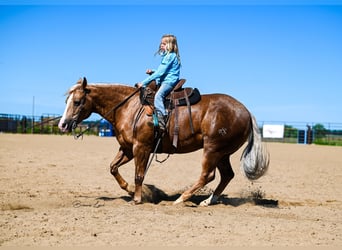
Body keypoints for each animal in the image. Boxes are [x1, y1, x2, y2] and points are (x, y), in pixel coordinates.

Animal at [58, 77, 270, 205]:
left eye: (77, 102)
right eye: (66, 101)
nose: (62, 124)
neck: (129, 107)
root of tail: (246, 111)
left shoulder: (141, 148)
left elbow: (139, 175)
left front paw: (138, 198)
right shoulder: (127, 149)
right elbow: (113, 168)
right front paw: (130, 191)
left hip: (213, 149)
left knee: (207, 175)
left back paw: (182, 199)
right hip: (223, 153)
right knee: (227, 175)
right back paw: (208, 201)